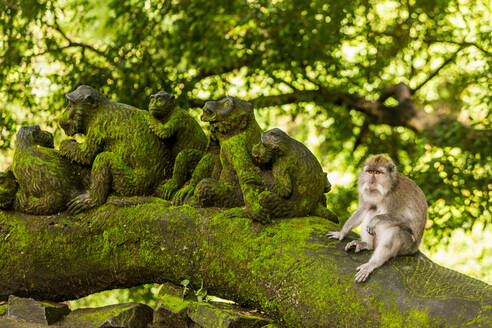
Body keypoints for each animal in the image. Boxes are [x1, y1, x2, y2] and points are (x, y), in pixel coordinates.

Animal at [328, 154, 428, 282]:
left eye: (378, 173)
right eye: (370, 172)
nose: (371, 182)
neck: (388, 189)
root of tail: (415, 249)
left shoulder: (395, 197)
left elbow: (407, 220)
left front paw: (376, 220)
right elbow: (365, 208)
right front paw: (341, 233)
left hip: (408, 247)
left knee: (395, 232)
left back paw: (372, 264)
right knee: (372, 210)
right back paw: (367, 245)